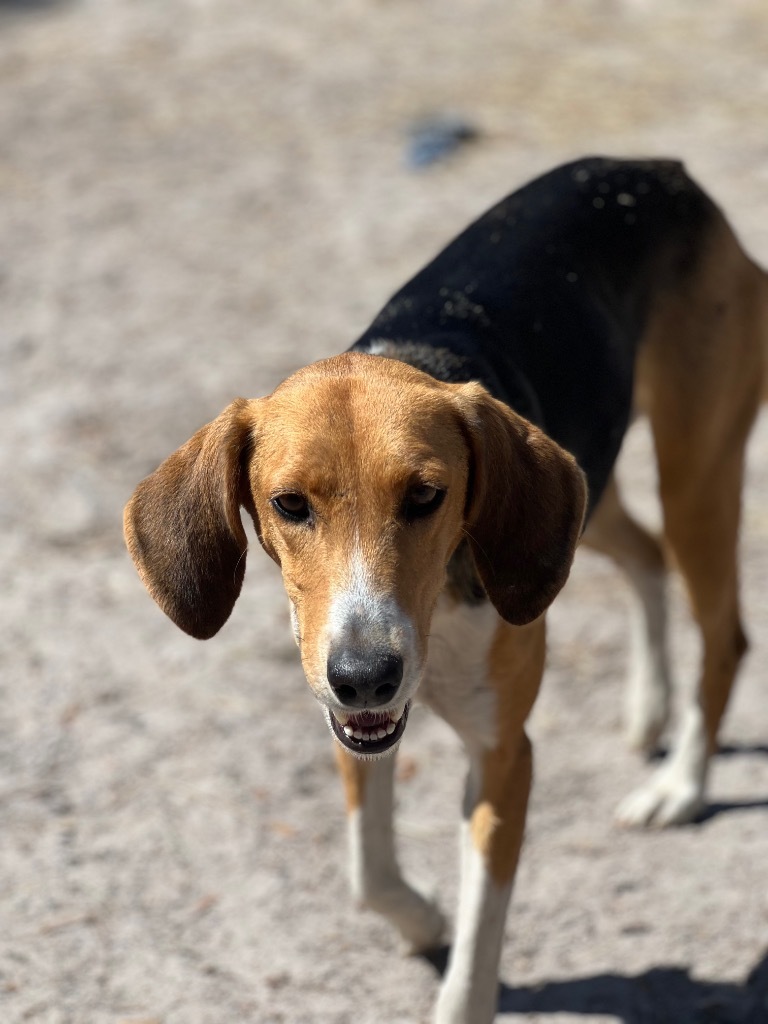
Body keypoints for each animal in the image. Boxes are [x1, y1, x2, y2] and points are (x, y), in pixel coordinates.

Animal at [123, 153, 765, 1024]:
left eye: (426, 496)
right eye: (289, 505)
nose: (366, 674)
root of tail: (657, 170)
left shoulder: (504, 757)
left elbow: (474, 954)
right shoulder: (351, 722)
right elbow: (368, 874)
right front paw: (424, 917)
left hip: (694, 471)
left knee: (722, 631)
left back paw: (682, 786)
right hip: (576, 500)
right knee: (646, 556)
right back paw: (650, 706)